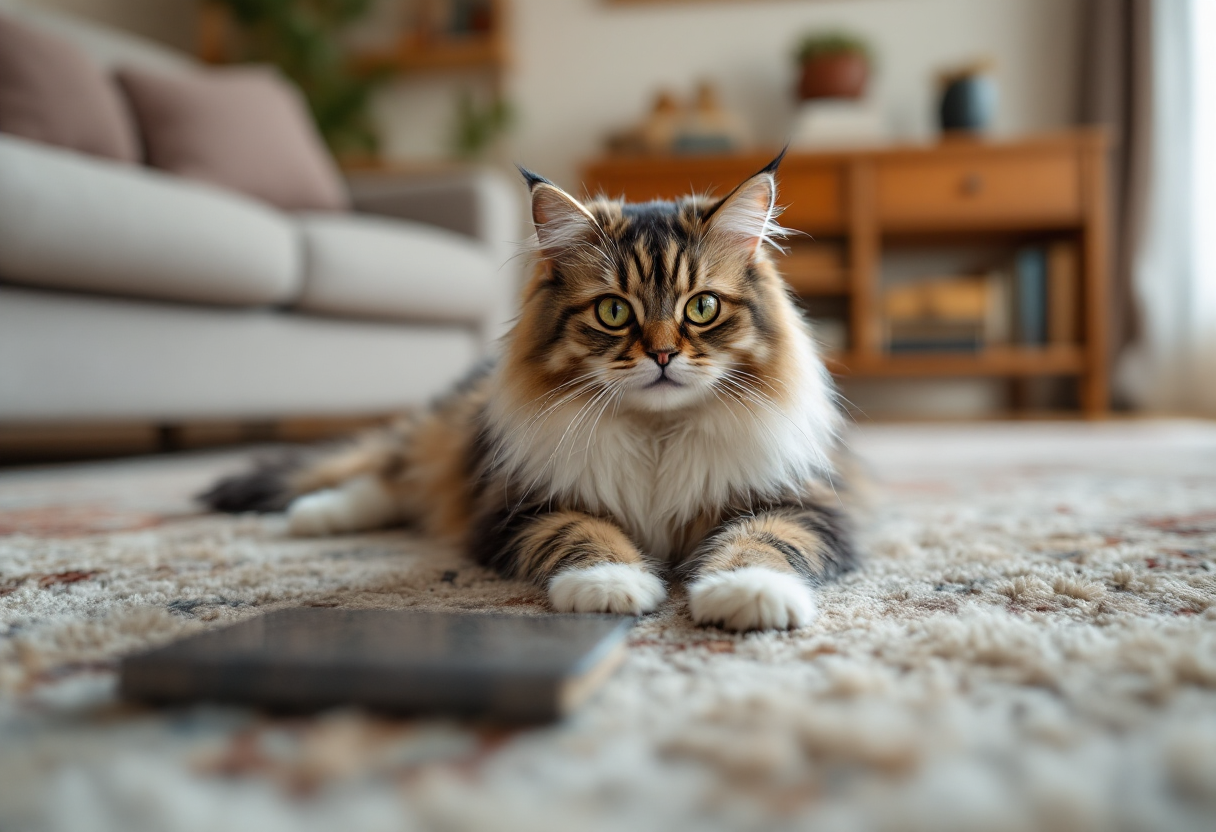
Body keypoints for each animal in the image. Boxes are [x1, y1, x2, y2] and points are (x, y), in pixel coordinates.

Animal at [204, 150, 856, 632]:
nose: (663, 354)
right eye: (614, 311)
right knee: (389, 478)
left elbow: (762, 541)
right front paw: (612, 584)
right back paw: (314, 515)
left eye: (702, 307)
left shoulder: (804, 504)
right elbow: (582, 532)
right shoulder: (519, 507)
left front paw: (747, 594)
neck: (656, 435)